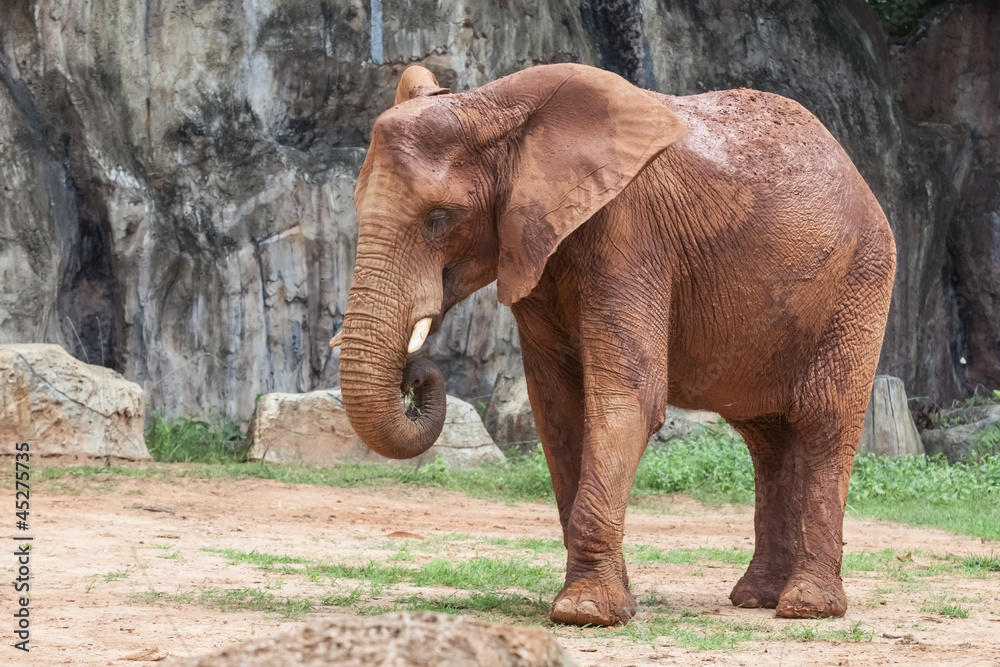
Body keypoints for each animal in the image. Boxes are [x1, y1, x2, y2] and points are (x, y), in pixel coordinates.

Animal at [332, 63, 896, 626]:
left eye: (440, 218)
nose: (415, 374)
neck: (492, 106)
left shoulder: (631, 231)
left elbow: (629, 401)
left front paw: (586, 613)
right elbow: (557, 412)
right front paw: (613, 602)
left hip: (860, 281)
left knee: (824, 422)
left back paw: (807, 607)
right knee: (767, 438)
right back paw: (757, 597)